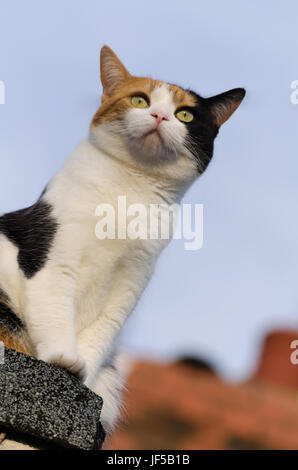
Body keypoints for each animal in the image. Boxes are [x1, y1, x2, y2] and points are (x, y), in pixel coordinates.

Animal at [0, 46, 246, 432]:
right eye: (139, 99)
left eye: (185, 114)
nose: (159, 115)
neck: (131, 187)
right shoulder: (54, 255)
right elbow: (54, 311)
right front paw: (63, 359)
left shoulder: (131, 281)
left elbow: (101, 333)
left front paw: (81, 378)